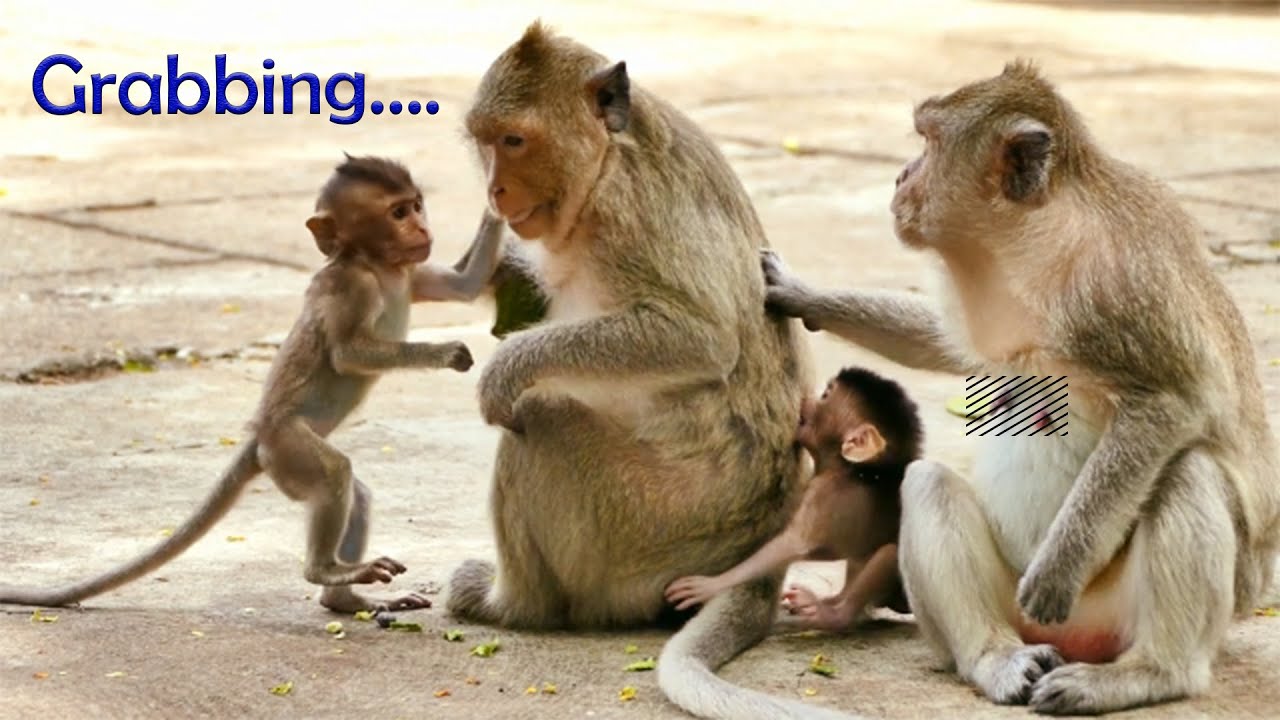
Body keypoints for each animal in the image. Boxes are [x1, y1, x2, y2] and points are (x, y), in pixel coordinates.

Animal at [0, 155, 507, 614]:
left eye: (417, 205)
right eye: (398, 213)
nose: (421, 227)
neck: (378, 266)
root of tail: (258, 436)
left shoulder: (409, 271)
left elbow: (464, 284)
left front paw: (498, 202)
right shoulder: (351, 288)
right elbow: (347, 355)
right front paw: (447, 352)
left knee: (356, 495)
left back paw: (344, 599)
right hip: (289, 447)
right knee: (334, 472)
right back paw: (324, 570)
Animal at [442, 22, 864, 720]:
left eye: (515, 140)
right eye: (485, 141)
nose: (494, 192)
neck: (605, 163)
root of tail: (757, 554)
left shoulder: (628, 212)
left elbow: (700, 338)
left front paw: (508, 366)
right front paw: (490, 273)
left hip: (642, 530)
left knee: (540, 421)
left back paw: (514, 606)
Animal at [664, 366, 922, 632]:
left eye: (825, 395)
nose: (806, 399)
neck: (844, 468)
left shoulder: (822, 493)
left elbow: (792, 545)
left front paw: (712, 585)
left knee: (888, 552)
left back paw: (834, 615)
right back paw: (831, 600)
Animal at [762, 60, 1280, 715]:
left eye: (928, 142)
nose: (900, 175)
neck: (1036, 241)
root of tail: (1081, 639)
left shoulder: (1117, 283)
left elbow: (1173, 400)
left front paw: (1060, 564)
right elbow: (943, 343)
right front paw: (803, 293)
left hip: (1123, 609)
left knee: (1186, 470)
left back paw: (1149, 674)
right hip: (1010, 609)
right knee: (927, 484)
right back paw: (996, 659)